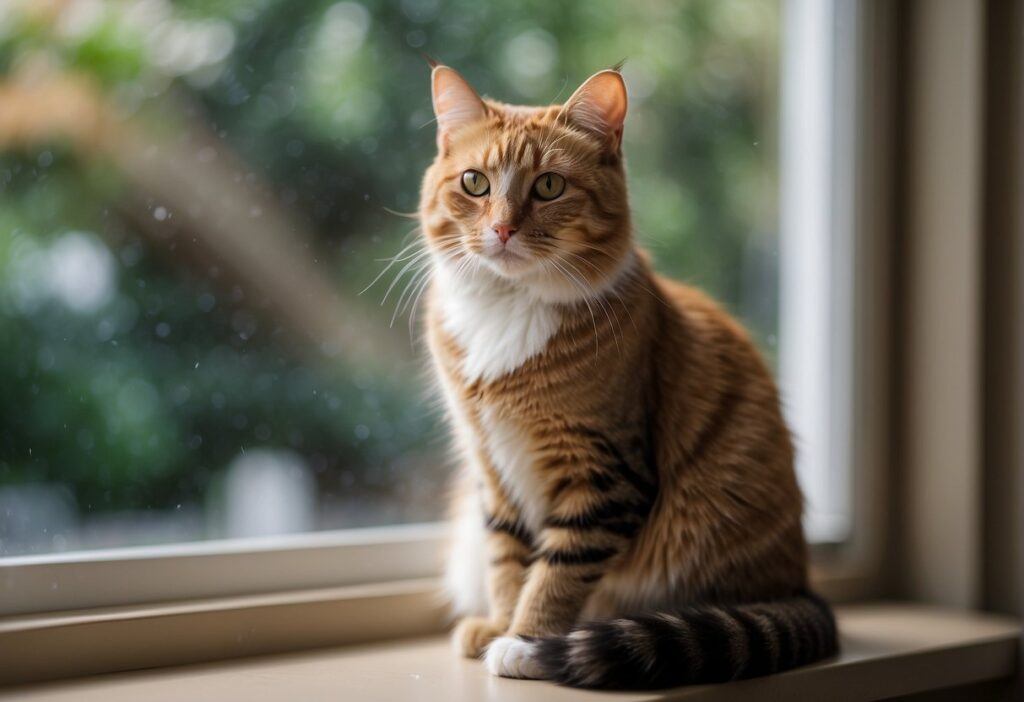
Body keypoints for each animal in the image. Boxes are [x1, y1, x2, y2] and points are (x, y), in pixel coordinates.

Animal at [417, 63, 839, 691]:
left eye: (548, 187)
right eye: (474, 183)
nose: (502, 230)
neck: (509, 307)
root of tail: (800, 586)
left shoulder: (604, 473)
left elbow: (557, 571)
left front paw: (524, 641)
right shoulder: (491, 466)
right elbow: (507, 559)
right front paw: (497, 625)